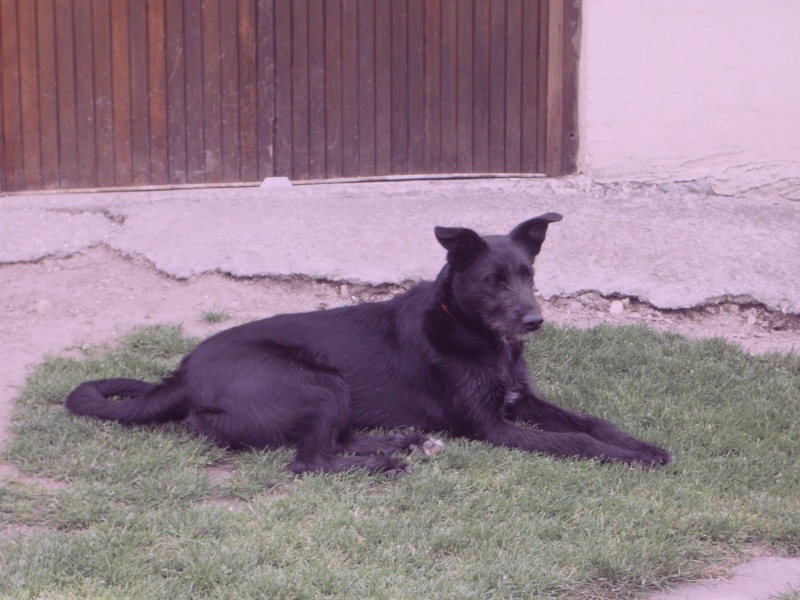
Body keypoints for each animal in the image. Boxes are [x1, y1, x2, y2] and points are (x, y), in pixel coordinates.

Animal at [65, 214, 672, 474]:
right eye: (492, 281)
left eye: (528, 275)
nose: (534, 320)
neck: (474, 335)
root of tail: (182, 377)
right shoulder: (492, 426)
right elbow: (574, 441)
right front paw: (628, 459)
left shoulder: (521, 400)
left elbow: (589, 422)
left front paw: (641, 445)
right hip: (319, 382)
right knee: (309, 461)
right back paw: (387, 461)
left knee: (332, 441)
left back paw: (402, 442)